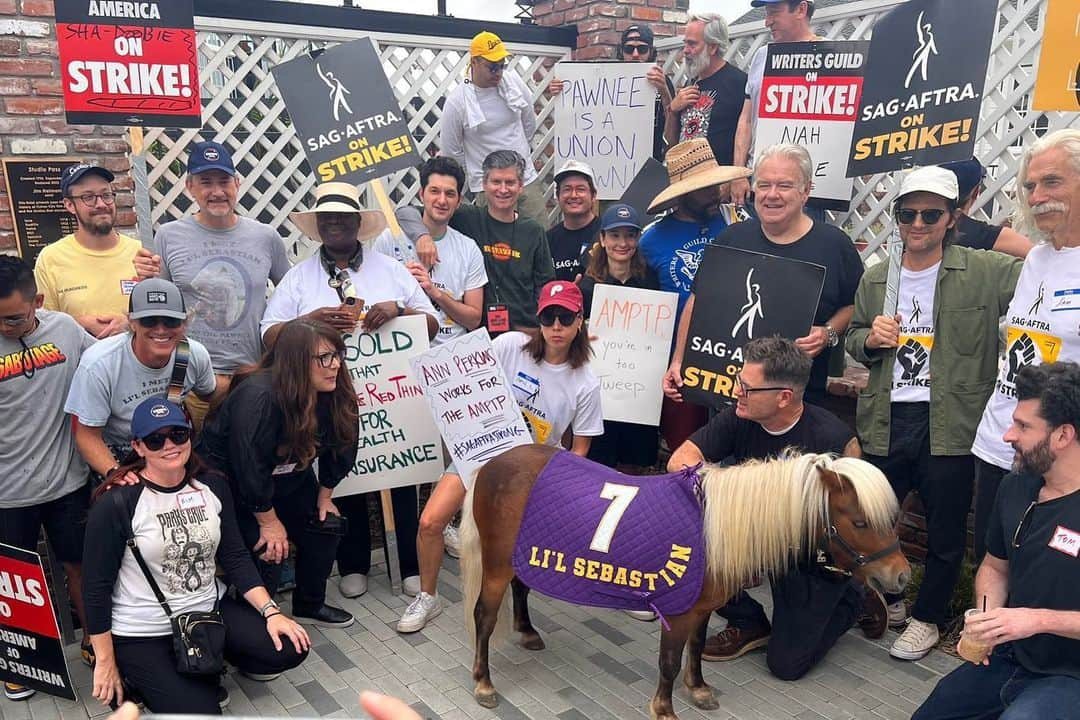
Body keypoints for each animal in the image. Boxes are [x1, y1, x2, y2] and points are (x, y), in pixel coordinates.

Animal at [457, 444, 911, 720]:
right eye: (859, 521)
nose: (901, 575)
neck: (715, 529)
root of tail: (493, 464)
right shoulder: (676, 612)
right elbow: (670, 661)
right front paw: (664, 707)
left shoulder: (702, 607)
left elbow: (695, 649)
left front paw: (699, 689)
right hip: (495, 567)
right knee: (483, 617)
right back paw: (483, 681)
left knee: (521, 588)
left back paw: (528, 632)